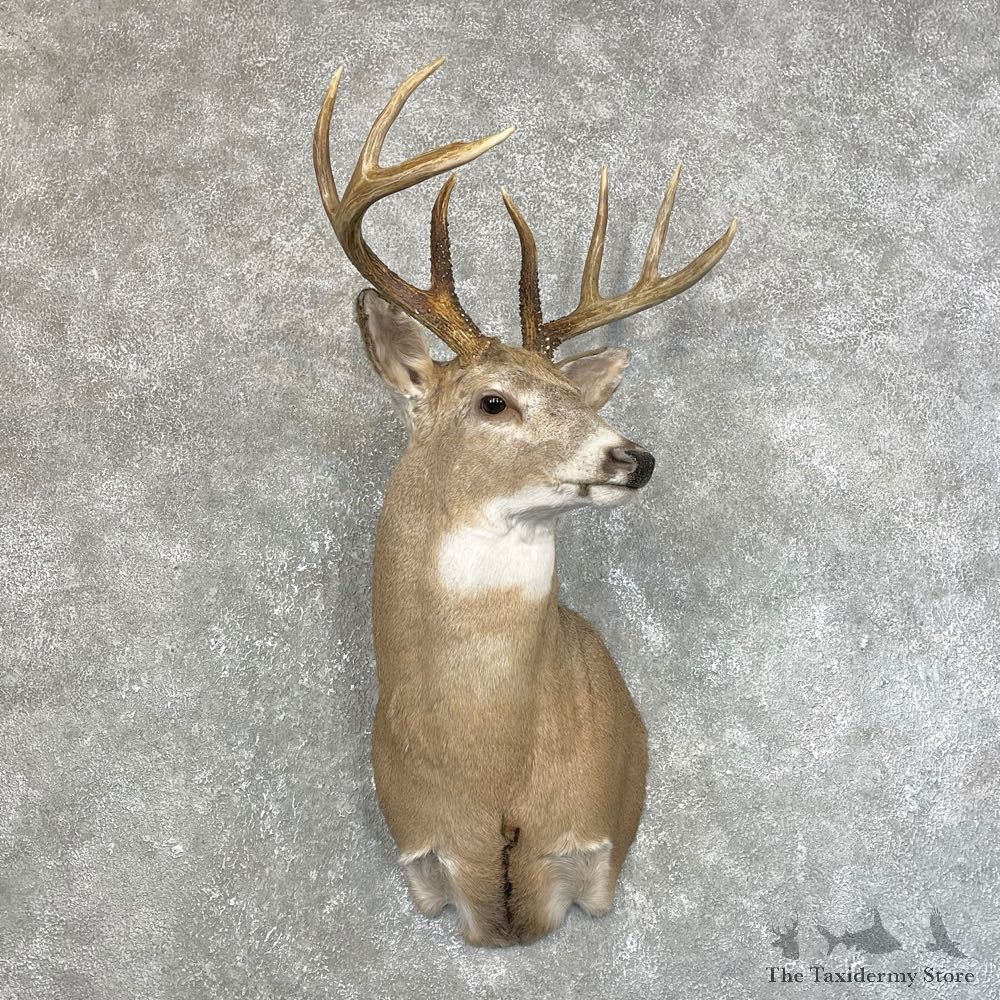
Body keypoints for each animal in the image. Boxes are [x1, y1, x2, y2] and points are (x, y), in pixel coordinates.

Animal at [313, 57, 736, 947]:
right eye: (493, 402)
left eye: (574, 394)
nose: (635, 457)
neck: (492, 768)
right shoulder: (422, 852)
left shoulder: (595, 841)